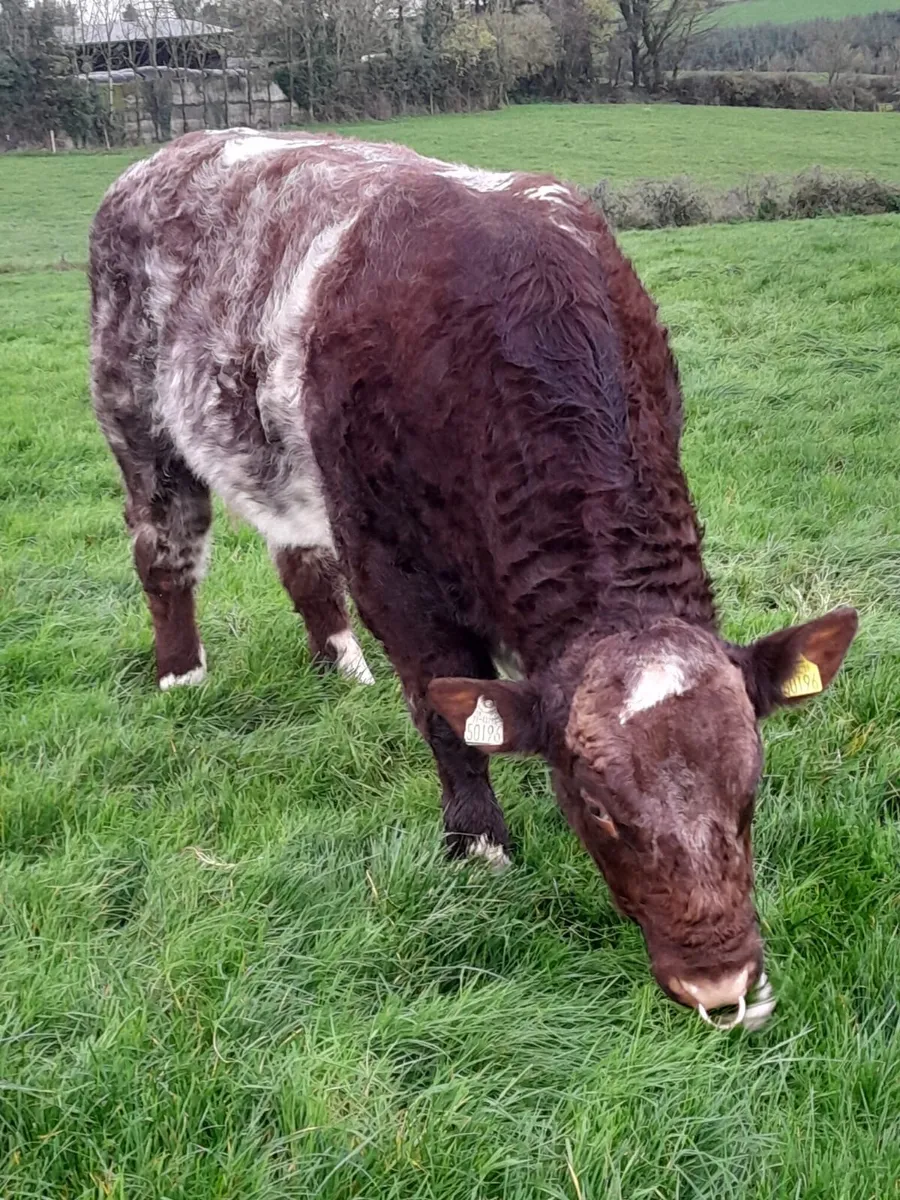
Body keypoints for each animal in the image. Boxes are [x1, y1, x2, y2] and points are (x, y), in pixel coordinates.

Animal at [90, 128, 858, 1030]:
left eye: (750, 788)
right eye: (597, 805)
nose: (722, 984)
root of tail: (174, 152)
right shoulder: (392, 567)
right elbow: (445, 714)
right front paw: (478, 844)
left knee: (301, 558)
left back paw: (338, 664)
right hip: (135, 417)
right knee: (165, 547)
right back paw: (182, 673)